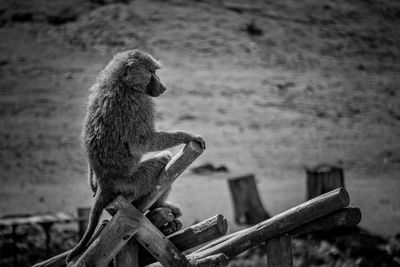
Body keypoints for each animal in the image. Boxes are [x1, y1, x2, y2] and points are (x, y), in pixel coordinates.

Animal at [67, 50, 205, 264]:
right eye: (152, 72)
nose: (163, 86)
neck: (120, 82)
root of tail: (107, 184)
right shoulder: (141, 102)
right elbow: (141, 143)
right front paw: (187, 136)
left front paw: (90, 181)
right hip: (133, 182)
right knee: (164, 160)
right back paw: (161, 205)